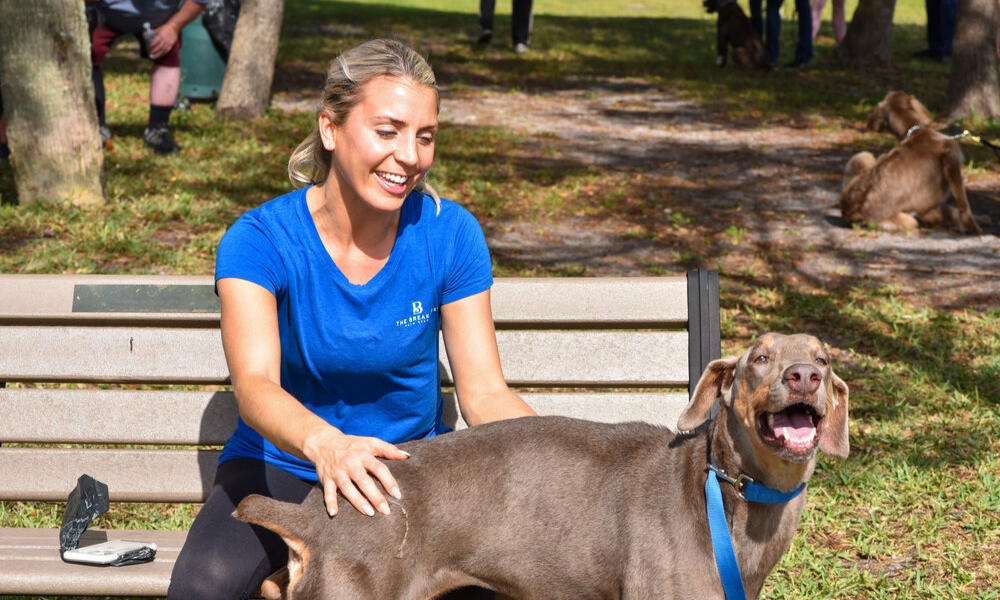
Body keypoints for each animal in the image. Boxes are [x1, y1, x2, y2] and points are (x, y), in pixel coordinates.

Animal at [840, 91, 980, 234]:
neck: (914, 130)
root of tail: (850, 215)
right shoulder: (952, 160)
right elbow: (962, 204)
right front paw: (972, 227)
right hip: (905, 220)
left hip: (863, 156)